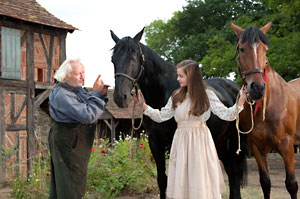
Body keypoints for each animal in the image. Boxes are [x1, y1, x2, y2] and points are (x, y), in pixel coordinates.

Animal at [110, 28, 248, 199]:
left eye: (133, 57)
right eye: (113, 60)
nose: (119, 97)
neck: (162, 94)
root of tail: (233, 87)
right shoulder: (155, 142)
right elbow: (162, 180)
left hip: (235, 139)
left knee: (234, 172)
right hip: (221, 141)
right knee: (230, 171)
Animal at [232, 21, 300, 198]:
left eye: (265, 49)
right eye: (241, 49)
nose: (257, 88)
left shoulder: (287, 145)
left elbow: (292, 184)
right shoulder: (257, 147)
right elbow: (265, 183)